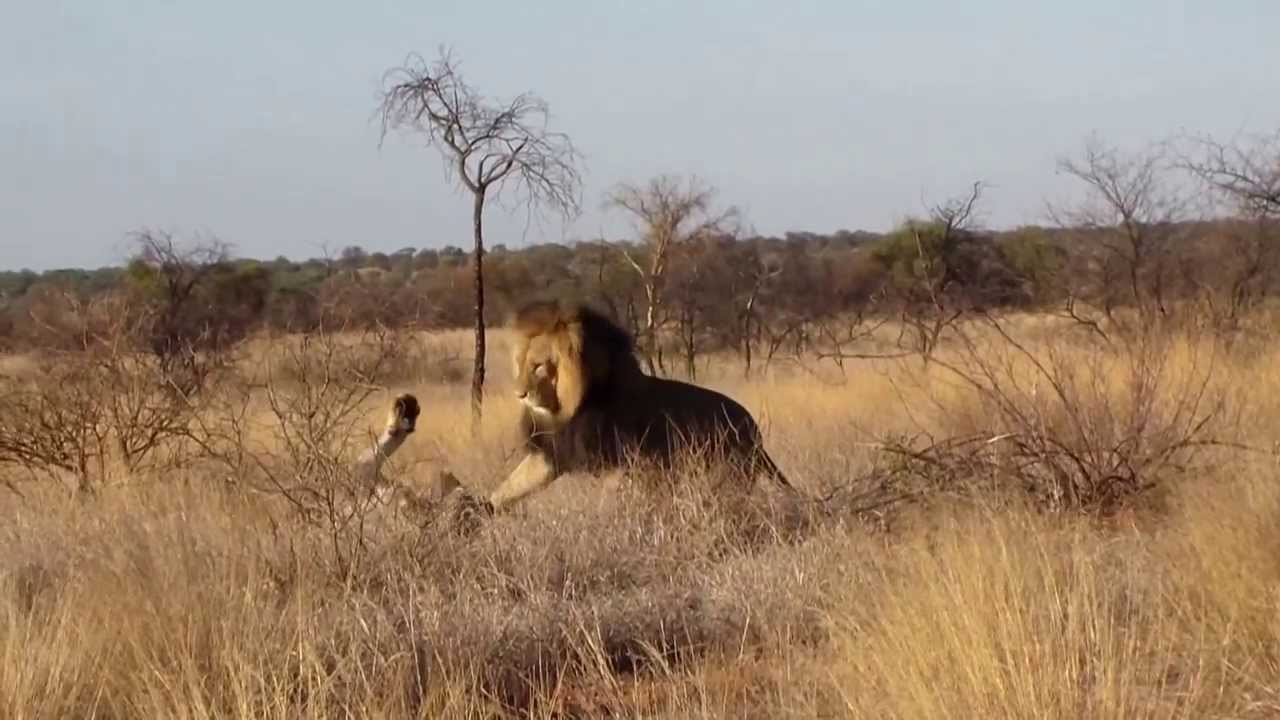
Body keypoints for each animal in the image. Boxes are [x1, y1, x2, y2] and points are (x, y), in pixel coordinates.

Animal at [483, 299, 795, 512]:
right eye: (520, 364)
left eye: (538, 366)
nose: (519, 394)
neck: (569, 407)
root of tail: (753, 429)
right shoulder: (552, 452)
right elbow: (511, 485)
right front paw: (481, 510)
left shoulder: (622, 463)